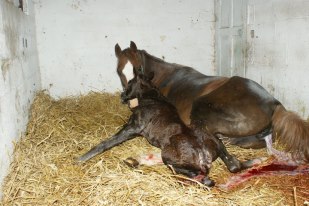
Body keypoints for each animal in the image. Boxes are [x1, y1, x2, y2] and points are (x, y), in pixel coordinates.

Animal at [77, 73, 250, 186]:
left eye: (130, 82)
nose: (122, 95)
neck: (151, 98)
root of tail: (203, 154)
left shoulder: (133, 126)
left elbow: (106, 143)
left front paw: (80, 158)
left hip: (167, 154)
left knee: (195, 174)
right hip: (207, 136)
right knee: (228, 157)